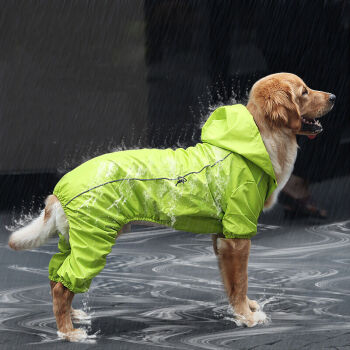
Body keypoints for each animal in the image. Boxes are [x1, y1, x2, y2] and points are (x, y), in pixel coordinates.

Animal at [8, 72, 334, 340]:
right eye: (304, 92)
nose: (333, 97)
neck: (256, 141)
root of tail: (59, 190)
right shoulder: (238, 236)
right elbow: (240, 282)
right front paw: (247, 317)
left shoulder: (222, 238)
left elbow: (231, 285)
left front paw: (240, 312)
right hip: (94, 243)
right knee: (63, 286)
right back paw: (68, 332)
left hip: (75, 242)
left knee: (56, 277)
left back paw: (73, 316)